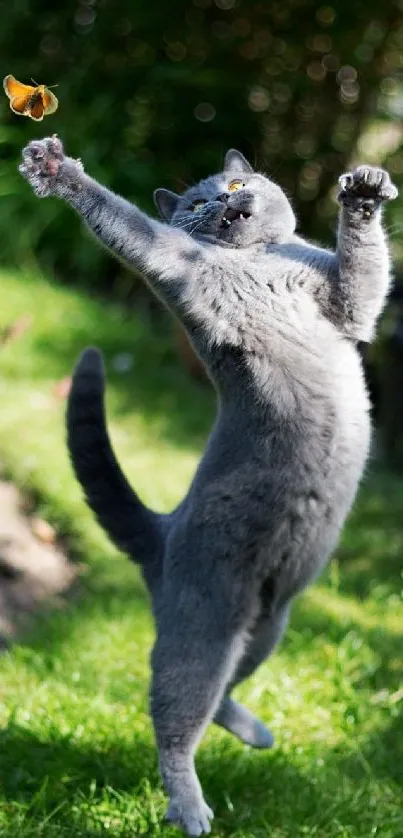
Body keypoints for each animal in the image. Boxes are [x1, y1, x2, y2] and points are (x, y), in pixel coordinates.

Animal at [19, 136, 398, 832]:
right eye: (199, 202)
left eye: (236, 184)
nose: (227, 199)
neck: (259, 262)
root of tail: (161, 531)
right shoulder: (175, 263)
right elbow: (126, 222)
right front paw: (57, 171)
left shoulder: (344, 303)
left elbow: (364, 272)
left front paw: (362, 190)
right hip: (205, 625)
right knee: (175, 715)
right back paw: (190, 809)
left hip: (268, 622)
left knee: (221, 694)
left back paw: (257, 735)